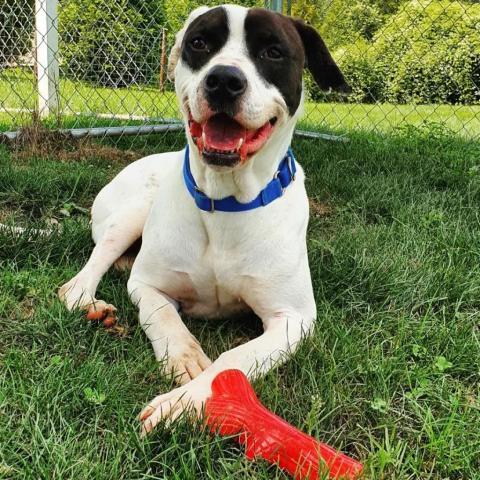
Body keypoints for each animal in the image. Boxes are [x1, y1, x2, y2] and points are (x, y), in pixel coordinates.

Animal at [58, 3, 350, 434]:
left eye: (273, 51)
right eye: (199, 43)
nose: (224, 80)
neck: (225, 202)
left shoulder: (293, 318)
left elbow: (235, 359)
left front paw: (183, 402)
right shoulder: (146, 284)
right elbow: (164, 316)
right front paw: (184, 359)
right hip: (131, 212)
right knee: (79, 280)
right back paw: (90, 303)